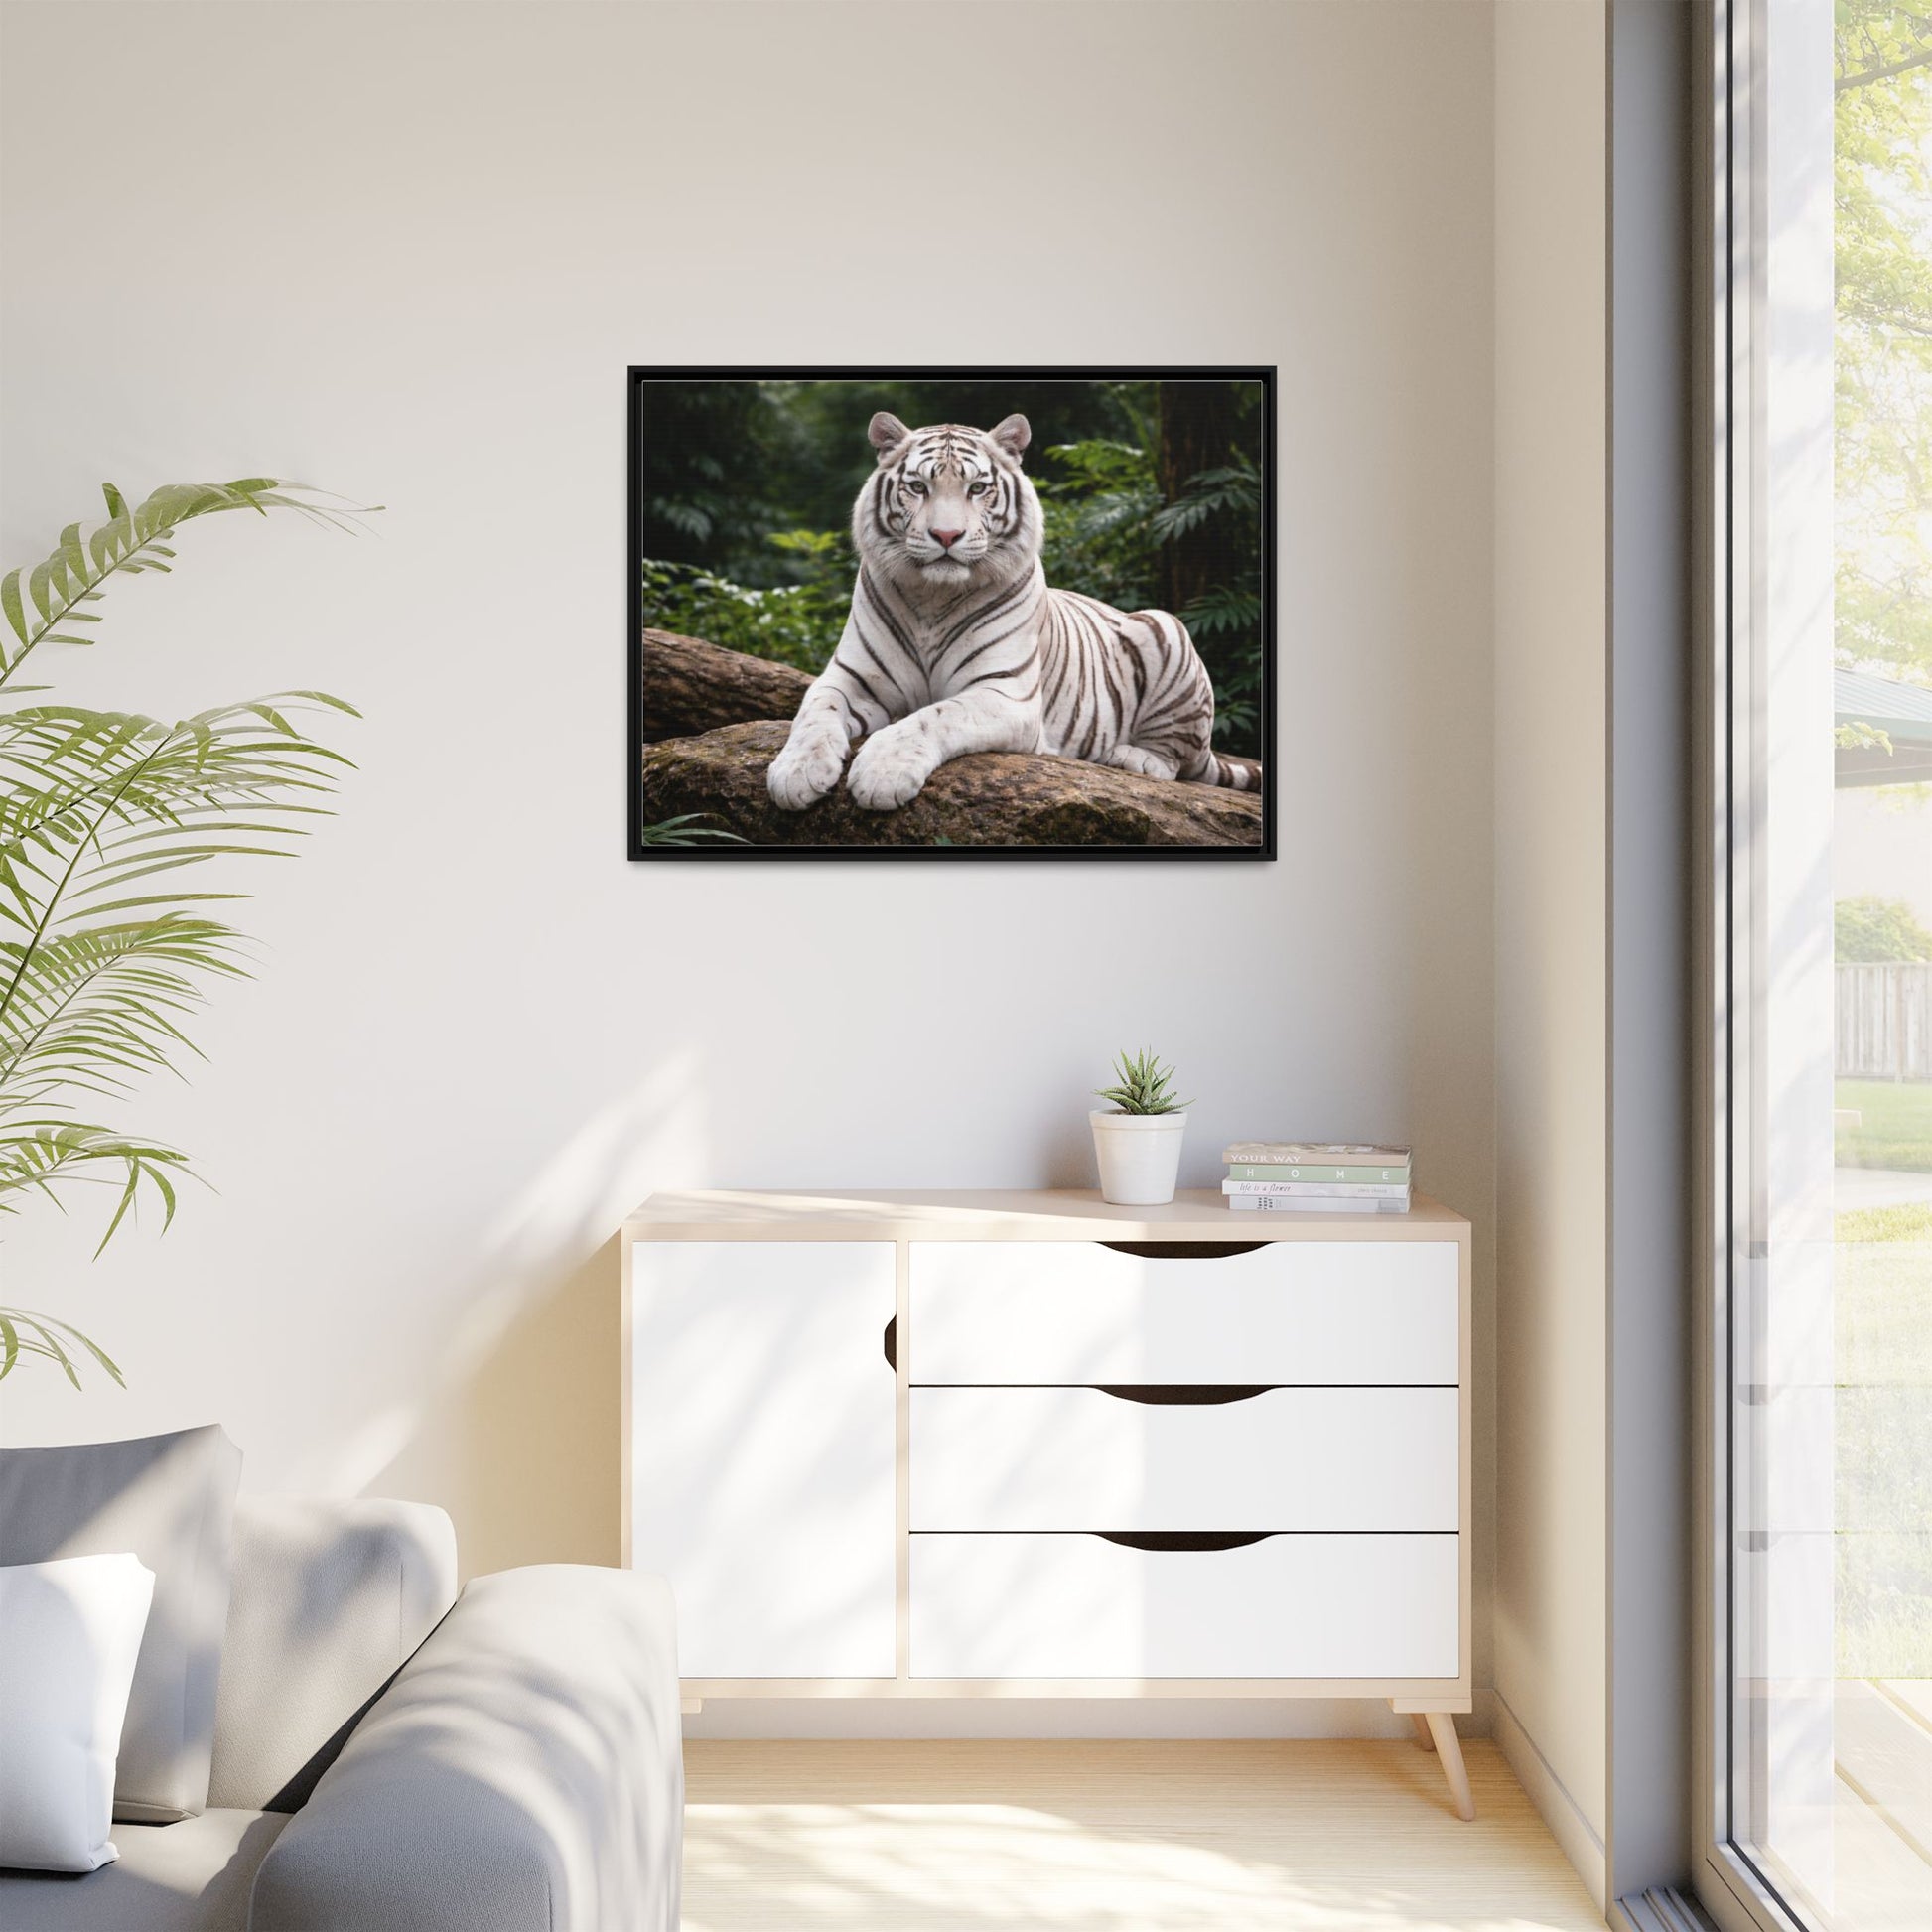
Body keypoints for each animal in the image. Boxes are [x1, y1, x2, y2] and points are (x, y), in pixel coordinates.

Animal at [765, 411, 1259, 813]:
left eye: (977, 488)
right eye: (919, 487)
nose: (947, 535)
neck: (932, 598)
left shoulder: (1004, 693)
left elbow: (932, 716)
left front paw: (882, 773)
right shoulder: (849, 677)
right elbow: (814, 712)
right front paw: (795, 773)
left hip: (1165, 627)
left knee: (1177, 762)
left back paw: (1128, 757)